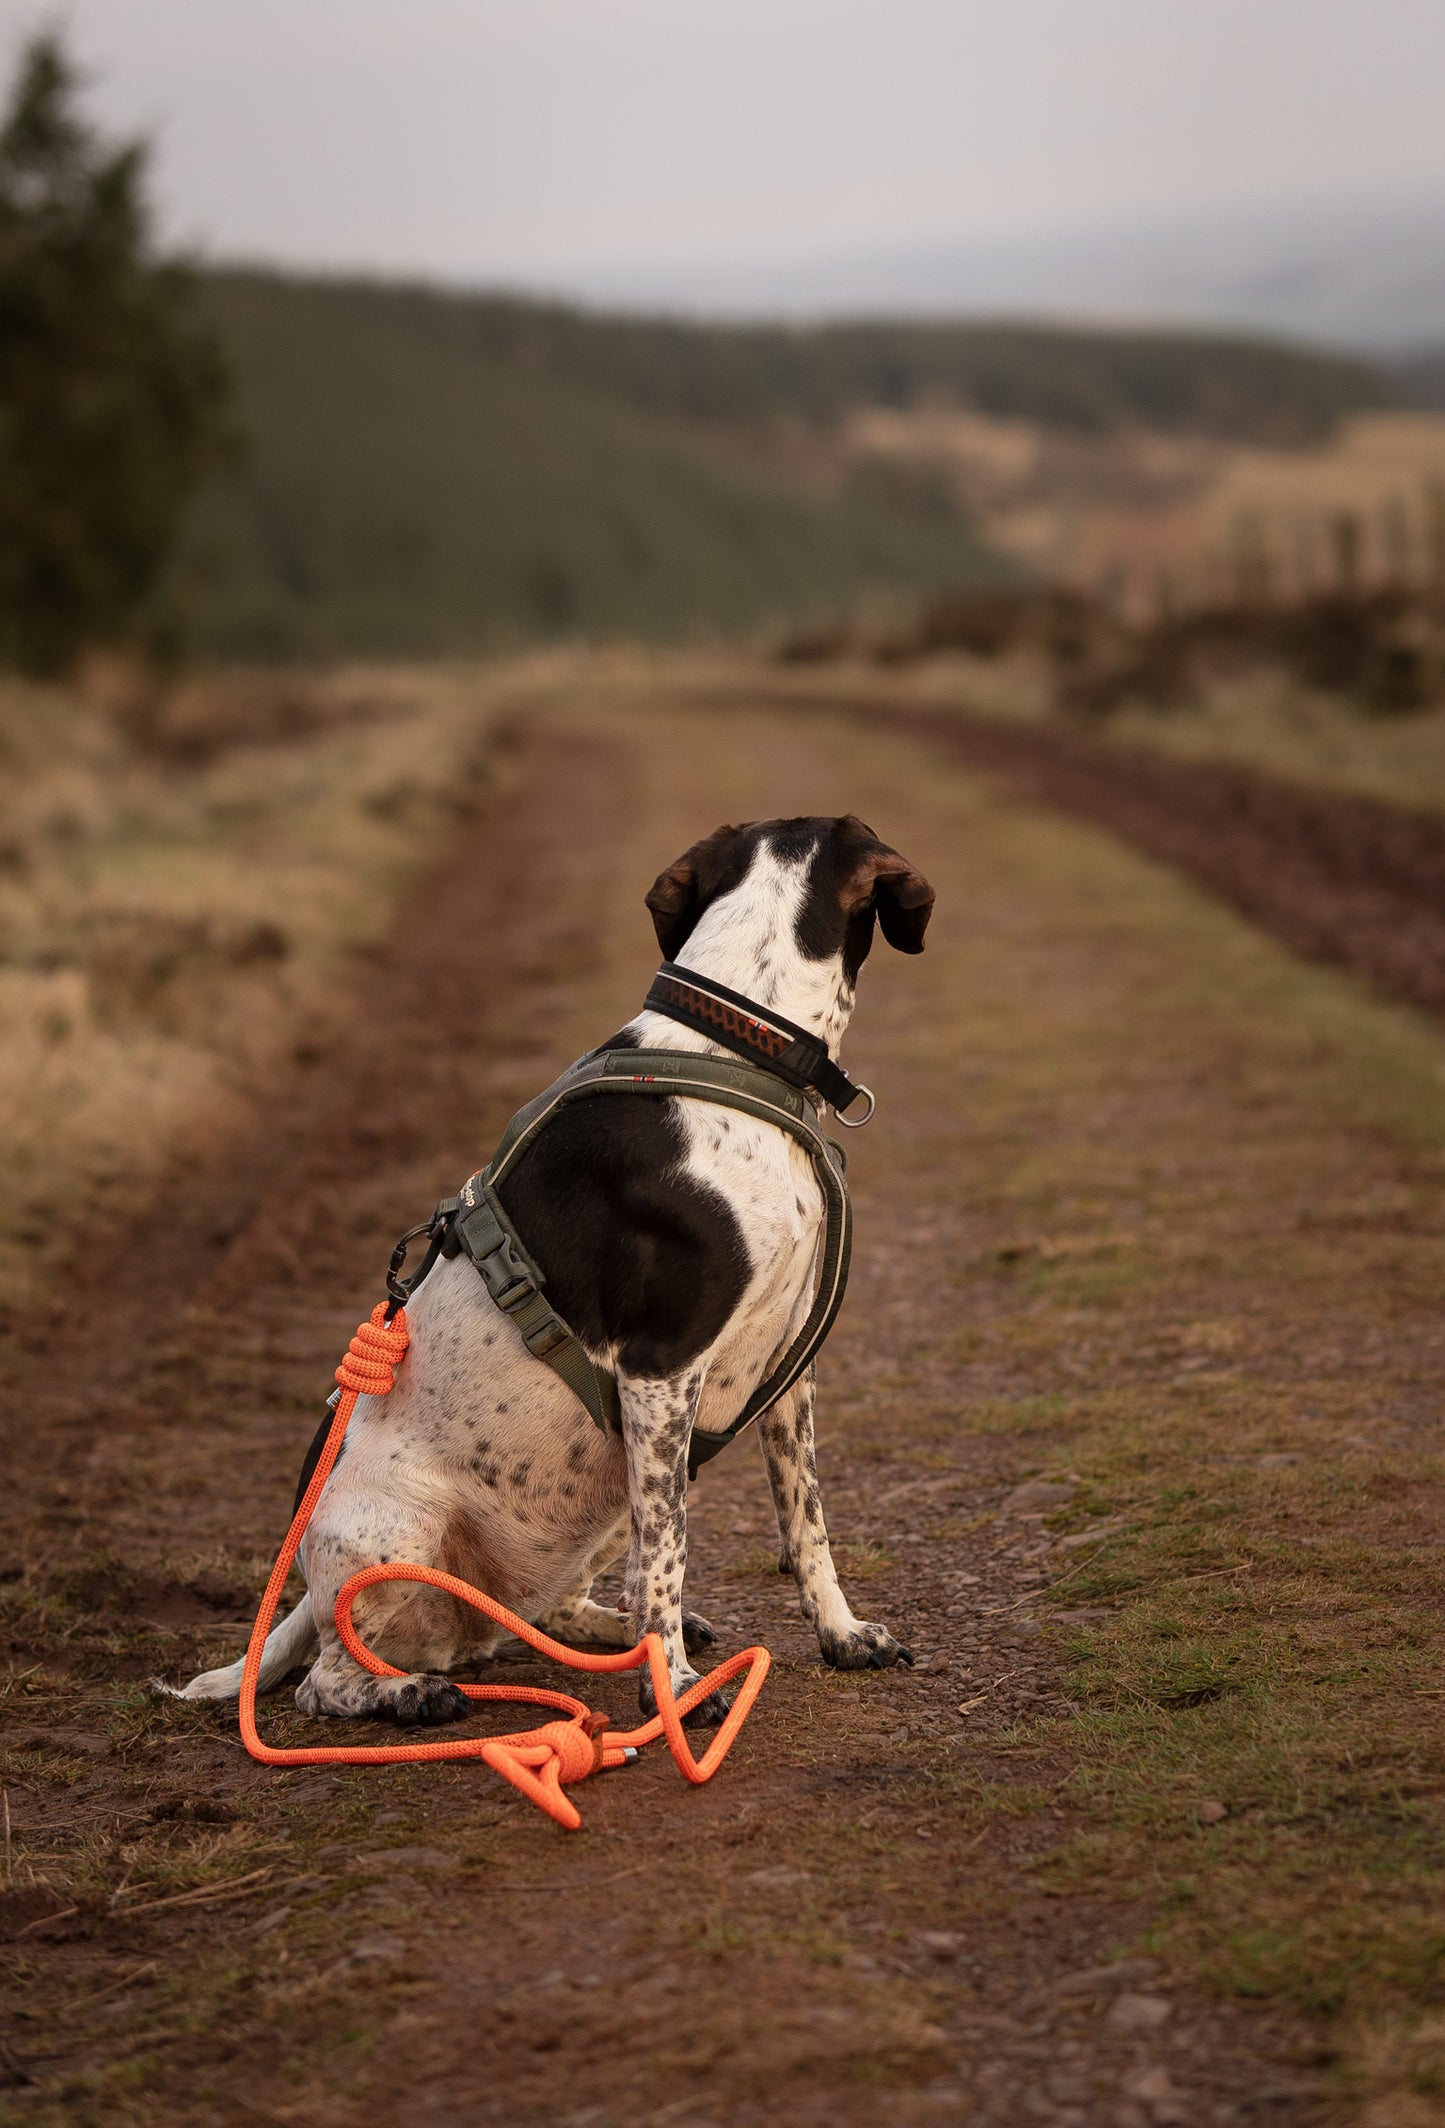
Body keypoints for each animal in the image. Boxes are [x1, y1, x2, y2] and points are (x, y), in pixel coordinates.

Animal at [177, 812, 936, 1727]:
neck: (737, 1048)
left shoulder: (786, 1365)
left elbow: (805, 1517)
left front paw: (841, 1633)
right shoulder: (661, 1367)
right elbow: (669, 1552)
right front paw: (673, 1687)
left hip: (602, 1486)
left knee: (551, 1611)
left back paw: (602, 1631)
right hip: (401, 1531)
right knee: (322, 1681)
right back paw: (408, 1693)